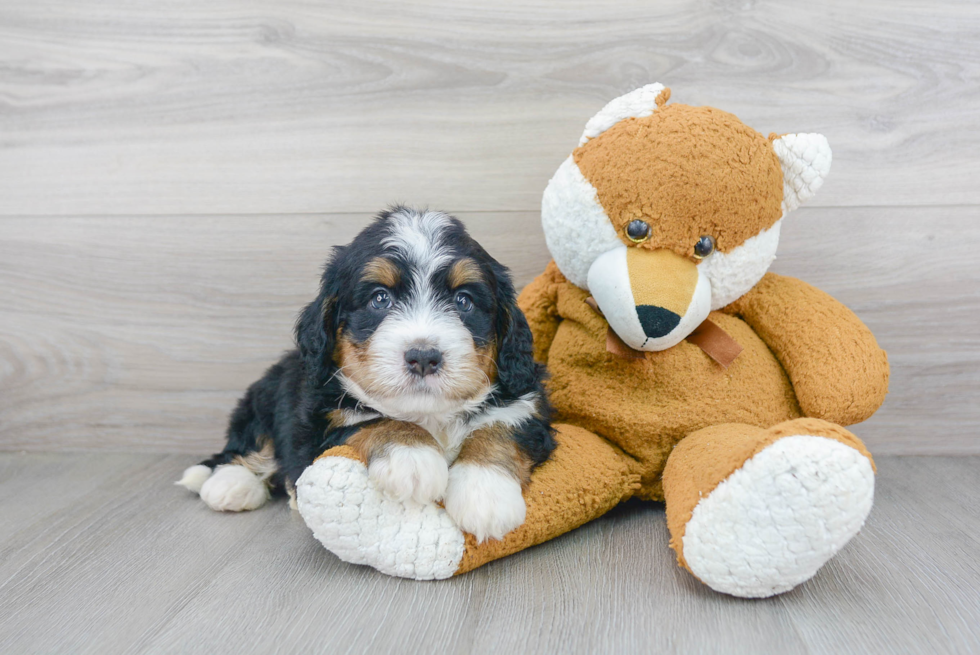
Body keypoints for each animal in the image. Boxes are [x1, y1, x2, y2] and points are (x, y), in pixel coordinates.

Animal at [177, 208, 556, 540]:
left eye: (464, 301)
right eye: (379, 298)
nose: (423, 357)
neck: (429, 415)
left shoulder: (527, 405)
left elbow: (500, 429)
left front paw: (486, 495)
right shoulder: (316, 425)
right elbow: (372, 420)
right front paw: (413, 459)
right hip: (263, 398)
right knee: (250, 445)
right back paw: (229, 484)